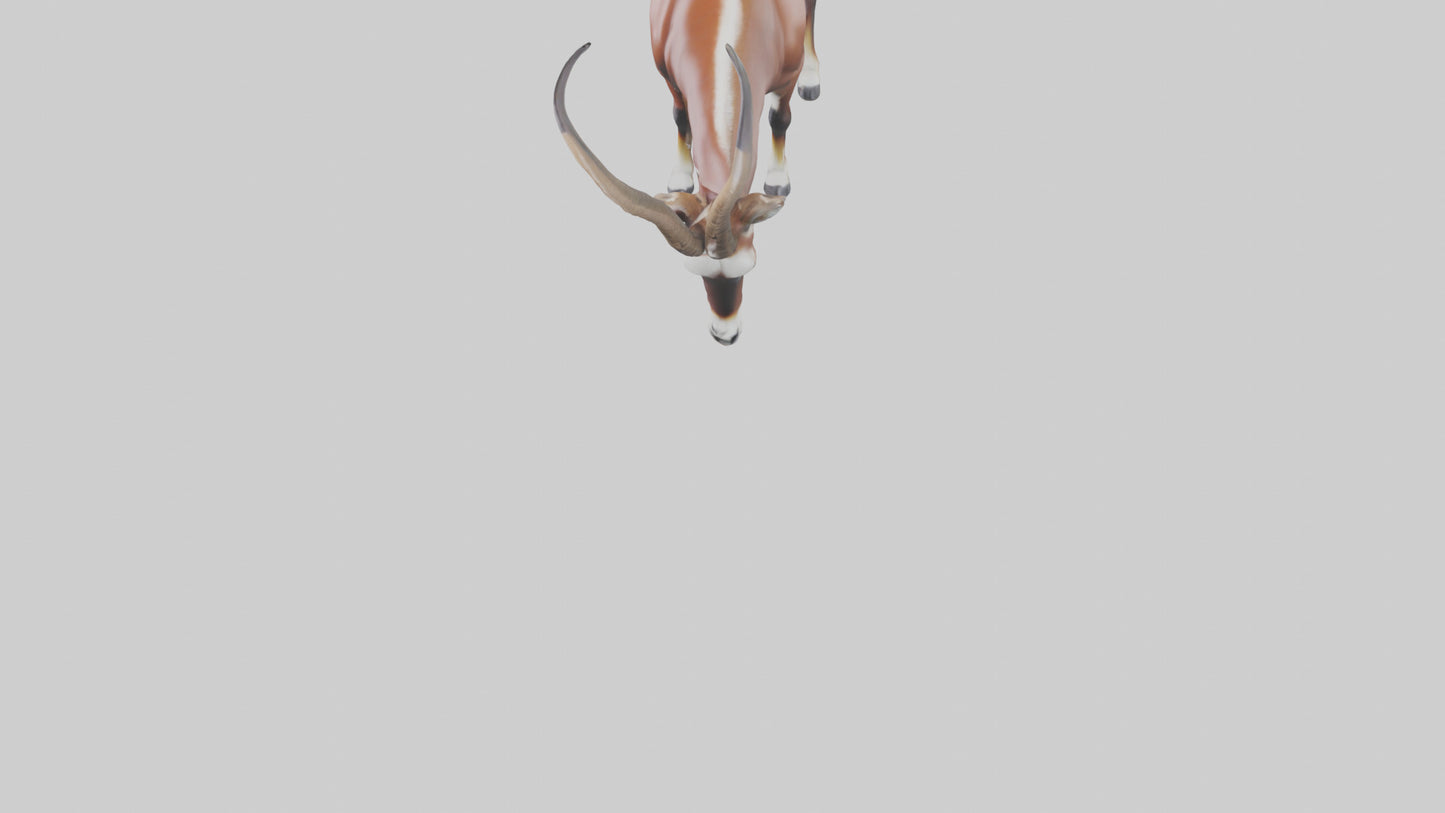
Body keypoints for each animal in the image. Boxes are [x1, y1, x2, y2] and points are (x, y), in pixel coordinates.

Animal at [554, 0, 822, 345]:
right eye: (700, 275)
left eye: (746, 268)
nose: (724, 335)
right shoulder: (670, 78)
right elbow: (680, 116)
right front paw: (680, 178)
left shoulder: (786, 79)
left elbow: (780, 119)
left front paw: (778, 181)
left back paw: (812, 80)